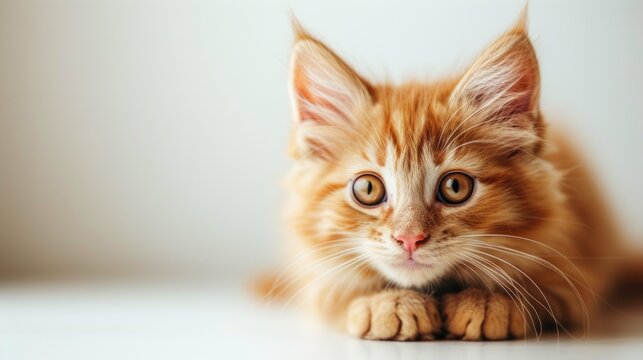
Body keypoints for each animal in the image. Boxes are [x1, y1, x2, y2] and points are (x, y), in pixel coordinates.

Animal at [270, 14, 624, 340]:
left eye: (455, 187)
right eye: (368, 188)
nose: (409, 238)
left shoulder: (574, 269)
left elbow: (540, 290)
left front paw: (487, 302)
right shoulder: (314, 278)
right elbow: (335, 293)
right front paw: (387, 303)